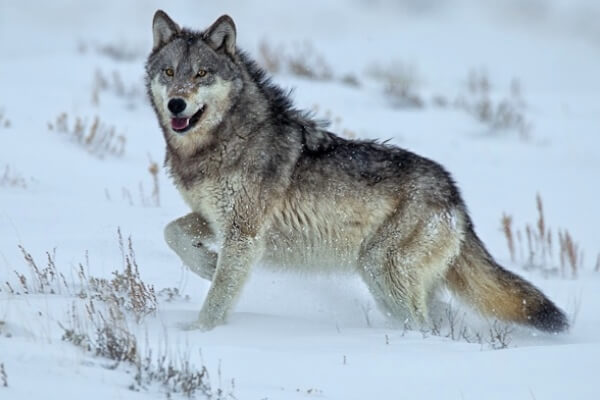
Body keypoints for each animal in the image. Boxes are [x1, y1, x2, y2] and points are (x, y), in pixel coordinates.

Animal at [144, 10, 568, 332]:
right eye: (169, 72)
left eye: (201, 74)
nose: (177, 104)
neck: (224, 140)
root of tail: (454, 195)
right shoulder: (213, 218)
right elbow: (171, 232)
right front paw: (206, 265)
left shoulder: (244, 235)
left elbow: (218, 296)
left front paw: (200, 332)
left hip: (381, 271)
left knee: (422, 326)